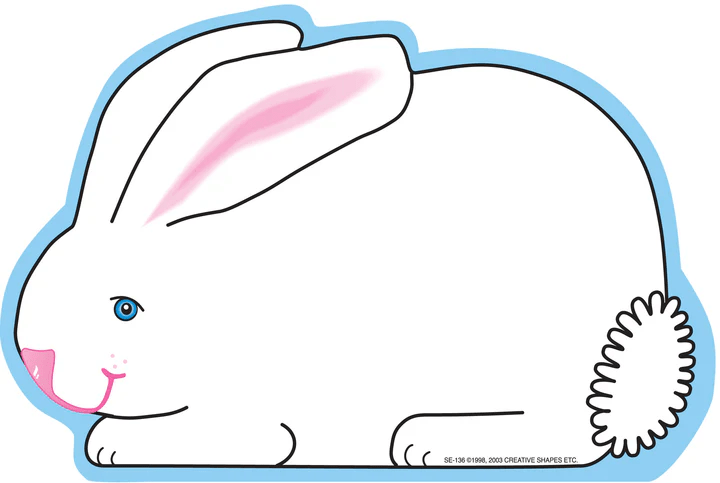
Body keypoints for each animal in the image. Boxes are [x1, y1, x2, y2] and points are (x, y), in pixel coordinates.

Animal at [13, 19, 693, 467]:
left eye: (124, 309)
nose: (37, 365)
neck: (222, 295)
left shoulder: (264, 414)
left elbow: (256, 439)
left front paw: (114, 442)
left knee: (572, 436)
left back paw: (430, 442)